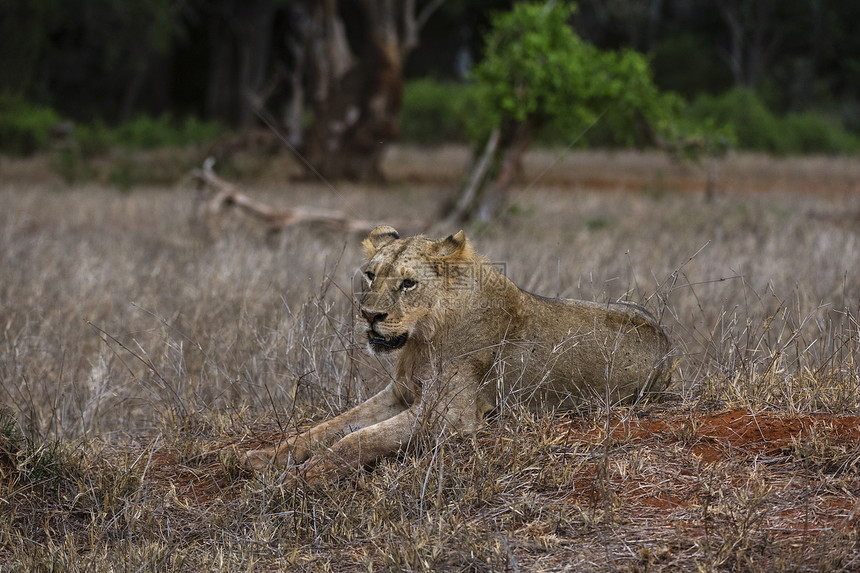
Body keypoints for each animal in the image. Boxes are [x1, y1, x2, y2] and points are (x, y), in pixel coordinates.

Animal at [244, 226, 672, 480]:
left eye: (408, 283)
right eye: (370, 275)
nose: (369, 316)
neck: (422, 338)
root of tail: (667, 343)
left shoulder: (451, 414)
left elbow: (358, 440)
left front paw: (301, 476)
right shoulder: (399, 393)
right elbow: (327, 427)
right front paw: (261, 459)